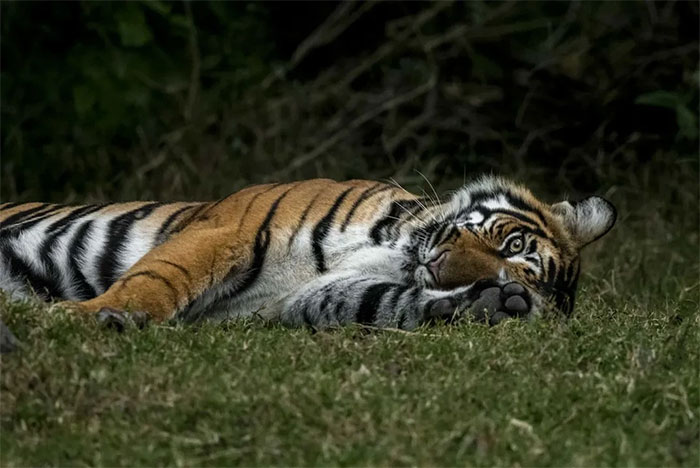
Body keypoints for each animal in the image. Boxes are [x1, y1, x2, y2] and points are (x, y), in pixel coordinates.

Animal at [0, 176, 616, 331]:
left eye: (517, 266)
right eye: (511, 245)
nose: (440, 269)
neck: (395, 250)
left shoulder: (304, 297)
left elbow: (378, 302)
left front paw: (490, 305)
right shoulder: (227, 229)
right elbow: (160, 278)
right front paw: (85, 315)